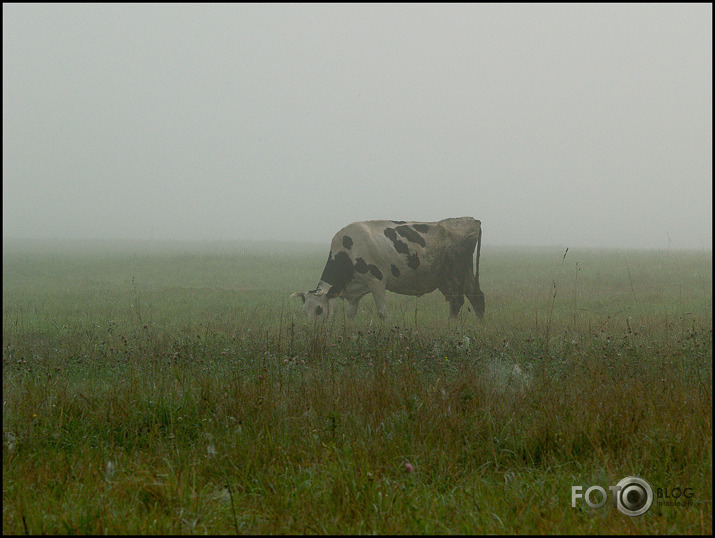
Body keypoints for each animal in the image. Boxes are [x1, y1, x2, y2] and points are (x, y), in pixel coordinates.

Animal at [290, 217, 486, 320]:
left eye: (319, 309)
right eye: (304, 311)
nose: (313, 332)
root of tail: (471, 220)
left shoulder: (376, 281)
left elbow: (383, 312)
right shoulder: (355, 291)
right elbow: (350, 314)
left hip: (454, 273)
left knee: (457, 301)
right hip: (462, 273)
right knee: (476, 296)